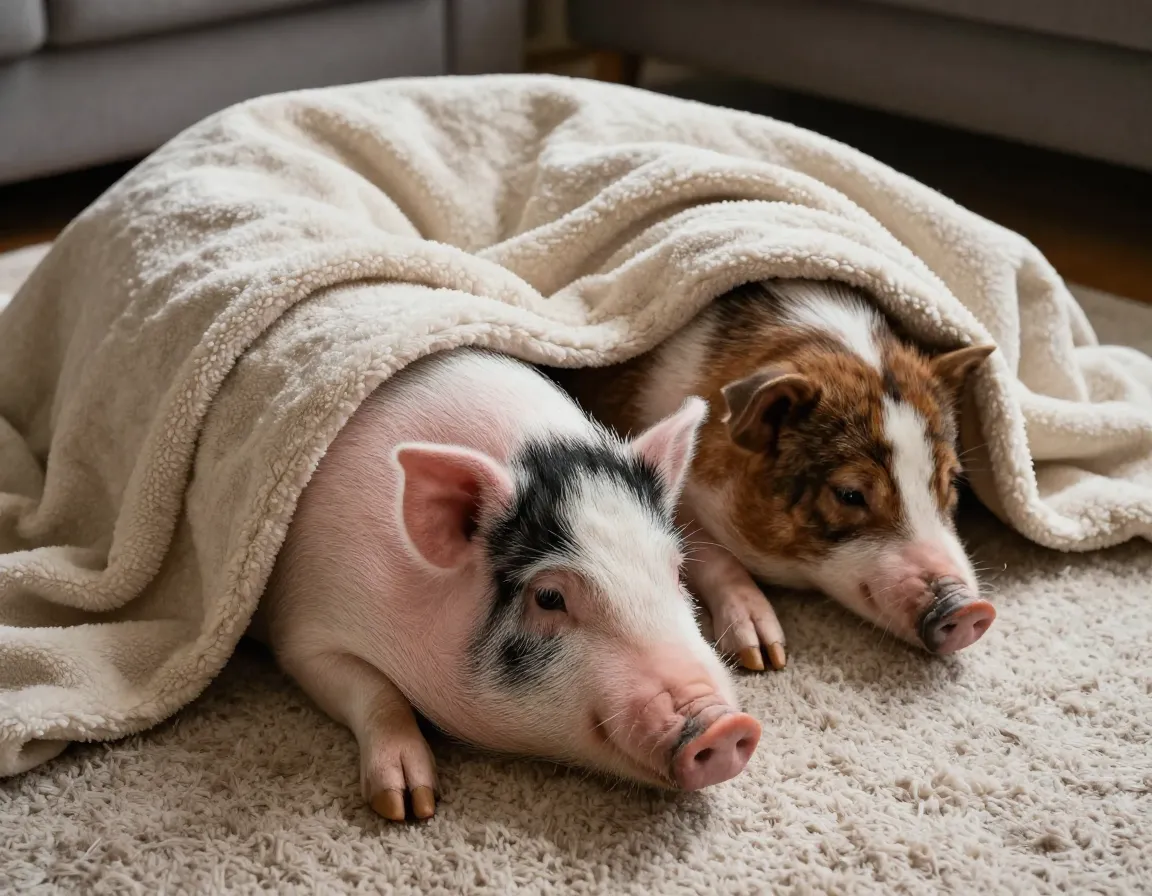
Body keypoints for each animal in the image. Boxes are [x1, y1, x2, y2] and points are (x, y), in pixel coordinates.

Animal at [251, 347, 761, 822]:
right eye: (549, 597)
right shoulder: (302, 627)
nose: (725, 725)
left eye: (674, 571)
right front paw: (409, 805)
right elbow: (375, 692)